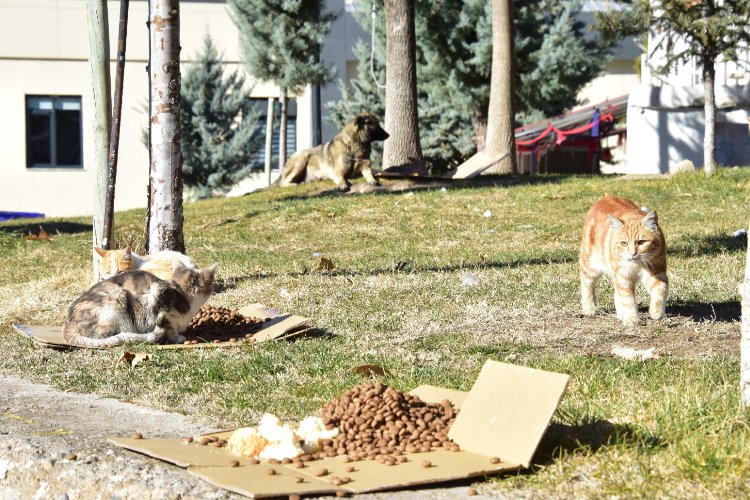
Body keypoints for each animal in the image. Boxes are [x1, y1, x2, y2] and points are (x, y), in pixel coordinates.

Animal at [63, 262, 219, 348]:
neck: (180, 291)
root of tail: (68, 326)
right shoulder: (156, 295)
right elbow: (170, 326)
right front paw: (177, 337)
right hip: (118, 301)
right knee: (107, 336)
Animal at [580, 197, 668, 326]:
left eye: (641, 242)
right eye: (624, 243)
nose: (633, 253)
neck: (637, 265)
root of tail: (605, 197)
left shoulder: (656, 273)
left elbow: (661, 290)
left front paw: (657, 312)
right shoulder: (623, 277)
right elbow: (628, 299)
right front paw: (632, 318)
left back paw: (621, 315)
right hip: (591, 267)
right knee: (587, 285)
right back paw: (590, 309)